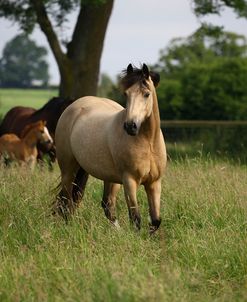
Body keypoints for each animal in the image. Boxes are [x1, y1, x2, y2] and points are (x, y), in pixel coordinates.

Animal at [53, 63, 166, 234]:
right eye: (126, 94)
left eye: (147, 94)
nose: (130, 126)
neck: (148, 143)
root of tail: (74, 106)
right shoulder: (130, 181)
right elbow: (135, 218)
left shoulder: (154, 182)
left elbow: (155, 220)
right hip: (68, 169)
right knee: (67, 200)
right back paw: (69, 228)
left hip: (110, 178)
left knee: (107, 205)